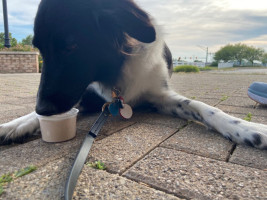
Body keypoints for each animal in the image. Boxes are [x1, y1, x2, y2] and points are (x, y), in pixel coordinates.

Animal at [0, 0, 266, 148]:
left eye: (71, 46)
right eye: (39, 49)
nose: (43, 108)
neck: (115, 70)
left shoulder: (159, 95)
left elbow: (202, 107)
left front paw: (247, 129)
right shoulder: (86, 92)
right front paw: (13, 125)